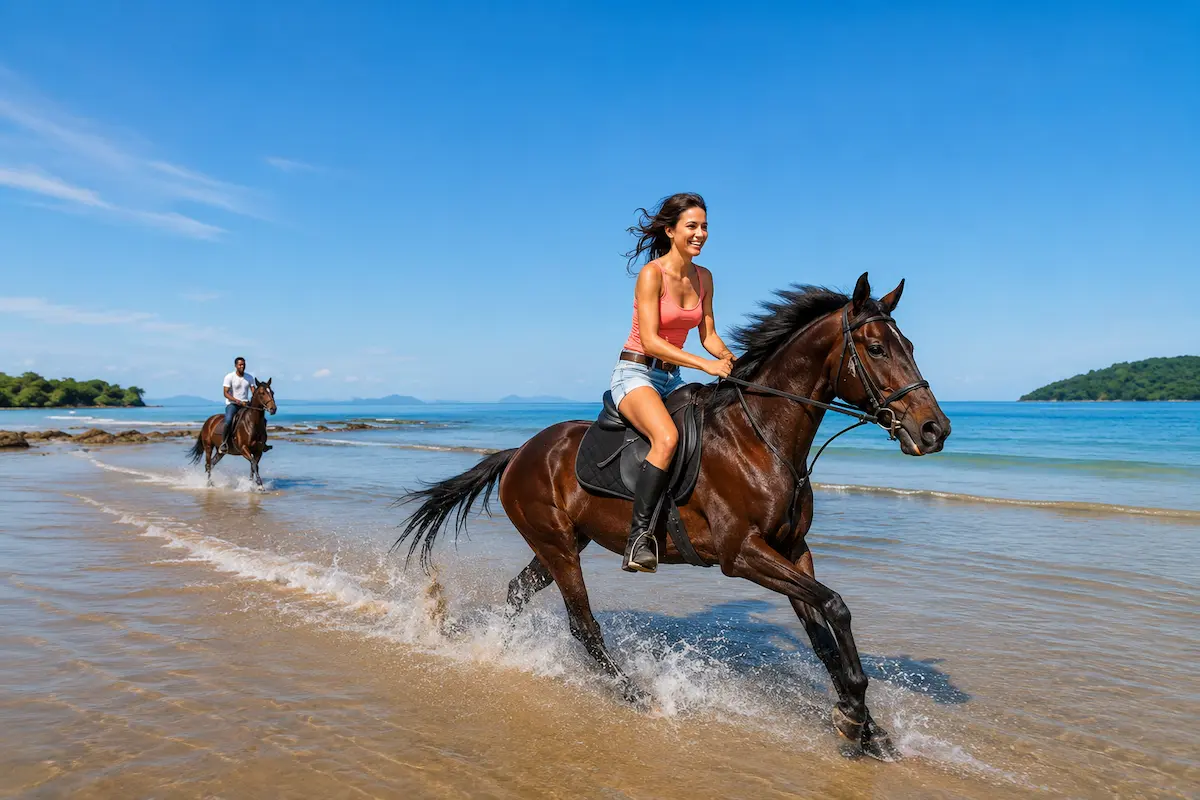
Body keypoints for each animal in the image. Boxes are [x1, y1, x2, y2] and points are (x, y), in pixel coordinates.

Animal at [395, 274, 950, 761]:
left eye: (910, 345)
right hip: (557, 545)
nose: (935, 430)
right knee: (583, 624)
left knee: (518, 593)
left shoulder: (794, 551)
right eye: (877, 349)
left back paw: (495, 650)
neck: (761, 437)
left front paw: (865, 727)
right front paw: (854, 715)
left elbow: (827, 636)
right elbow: (836, 606)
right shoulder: (742, 554)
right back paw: (634, 694)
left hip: (563, 544)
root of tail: (520, 453)